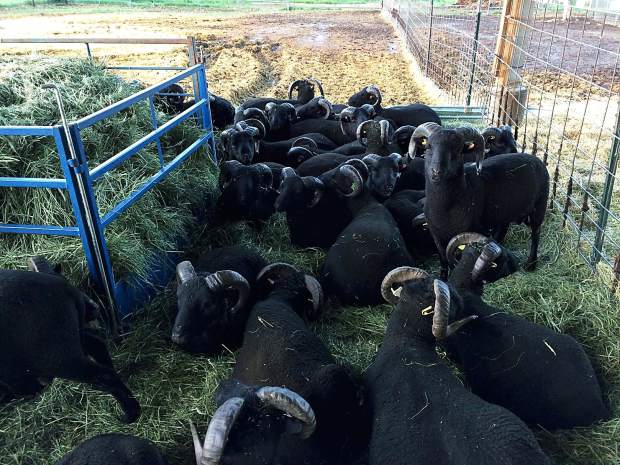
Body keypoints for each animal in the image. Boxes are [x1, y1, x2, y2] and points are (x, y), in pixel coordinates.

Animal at [0, 256, 140, 422]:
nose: (94, 308)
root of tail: (64, 288)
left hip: (58, 356)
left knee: (104, 375)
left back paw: (130, 414)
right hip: (72, 339)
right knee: (97, 347)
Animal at [418, 122, 548, 276]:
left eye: (458, 150)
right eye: (428, 146)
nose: (437, 171)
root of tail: (537, 159)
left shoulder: (469, 233)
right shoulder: (435, 234)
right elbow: (443, 258)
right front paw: (443, 276)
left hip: (539, 207)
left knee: (536, 234)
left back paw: (531, 264)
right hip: (505, 210)